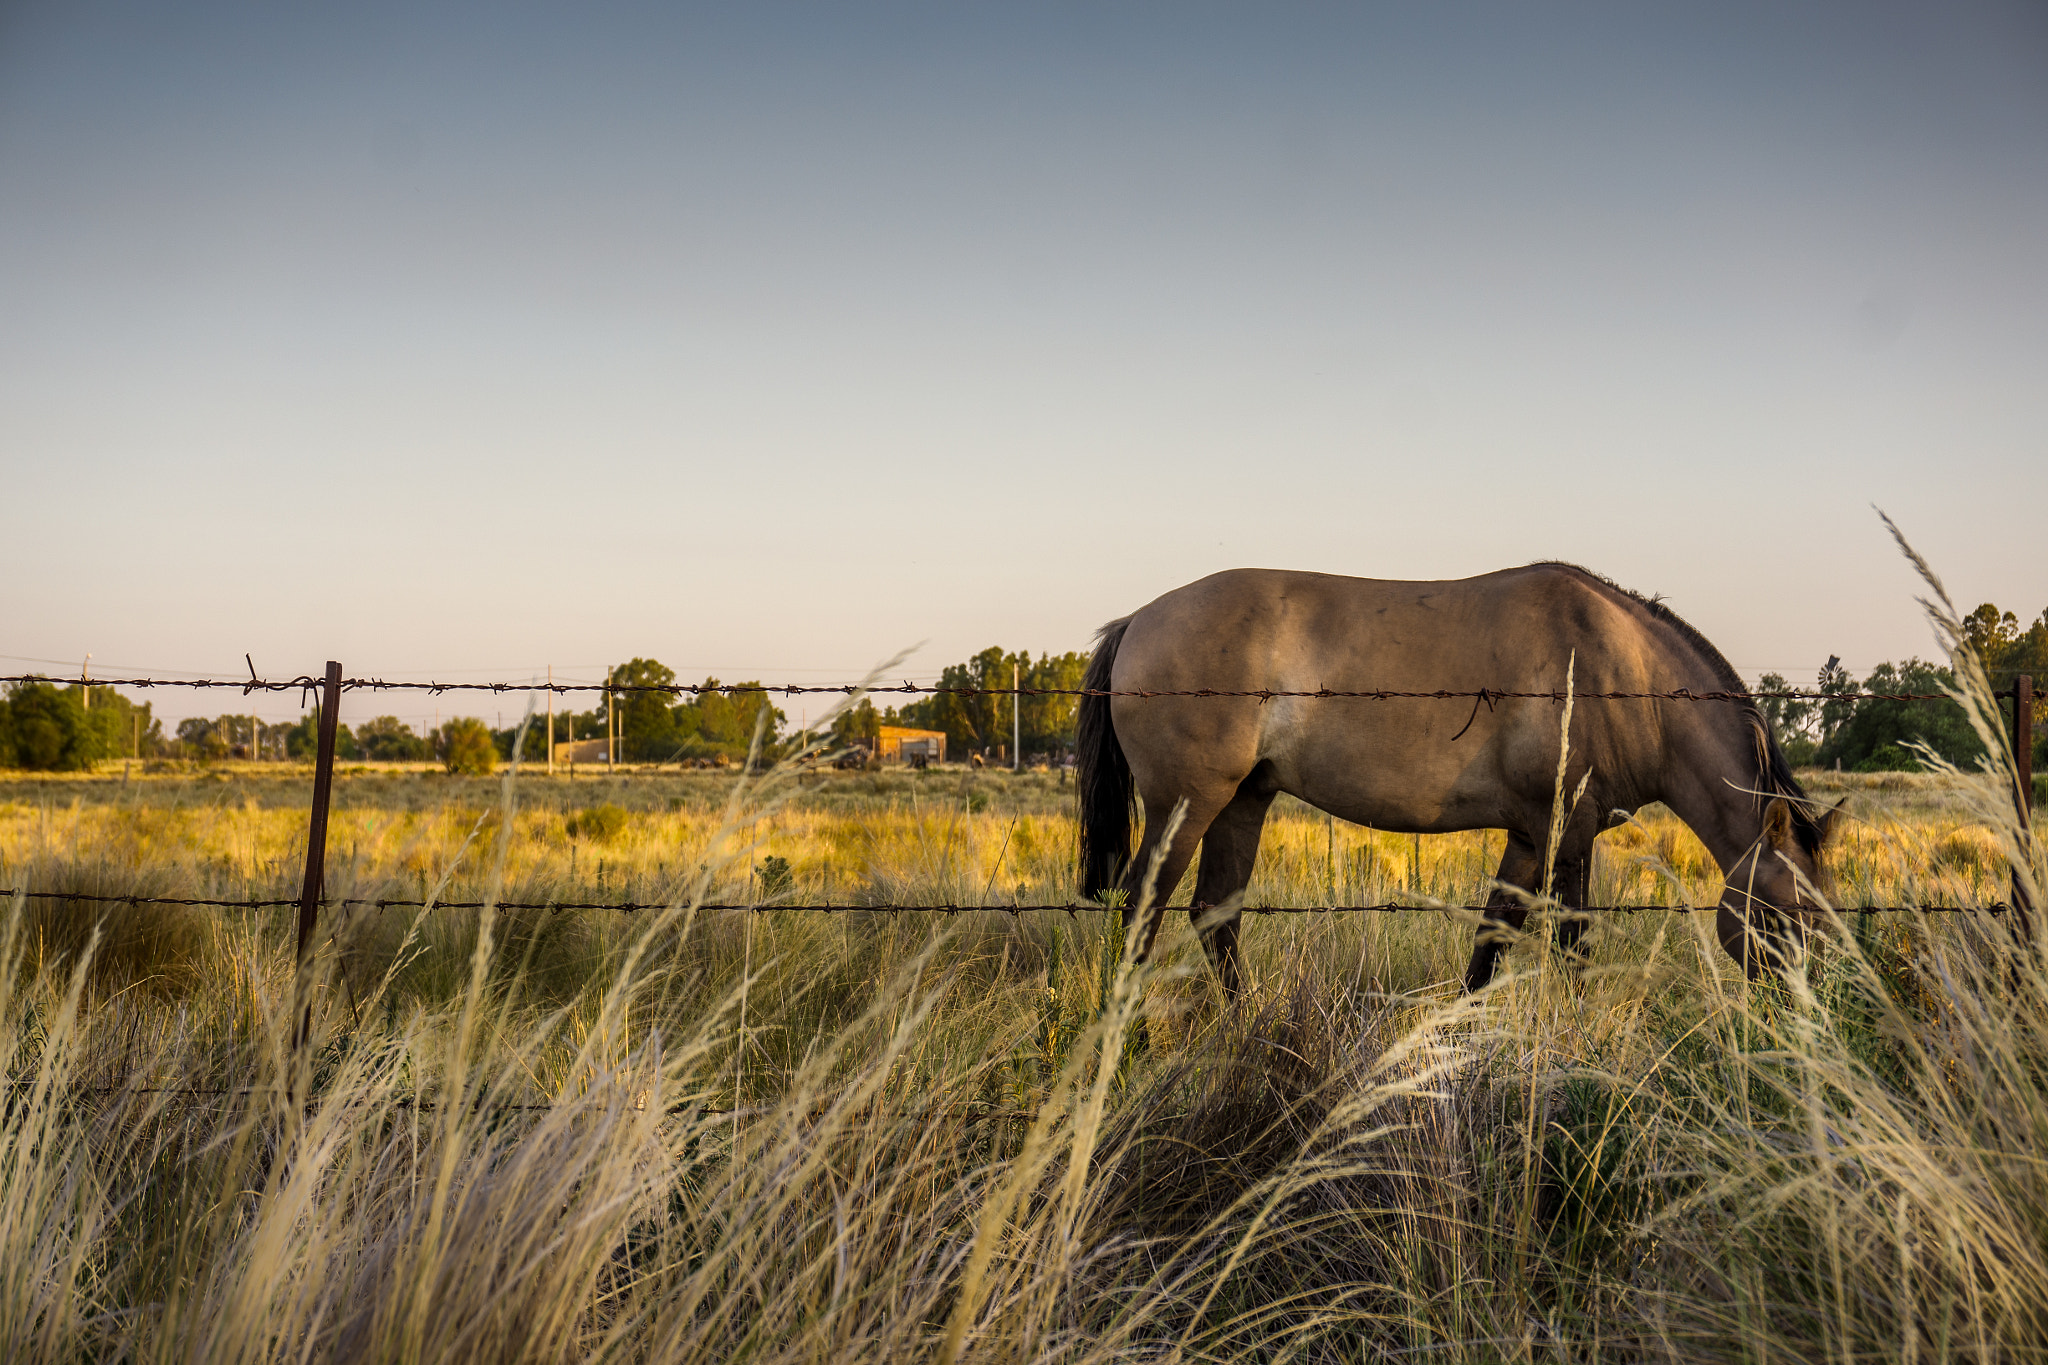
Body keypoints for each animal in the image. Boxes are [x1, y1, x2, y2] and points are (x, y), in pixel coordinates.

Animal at [1075, 564, 1842, 993]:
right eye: (1793, 914)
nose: (1815, 1024)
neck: (1619, 673)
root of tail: (1137, 619)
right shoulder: (1568, 832)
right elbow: (1574, 948)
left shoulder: (1530, 836)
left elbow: (1490, 943)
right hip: (1186, 805)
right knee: (1140, 912)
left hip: (1244, 801)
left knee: (1215, 919)